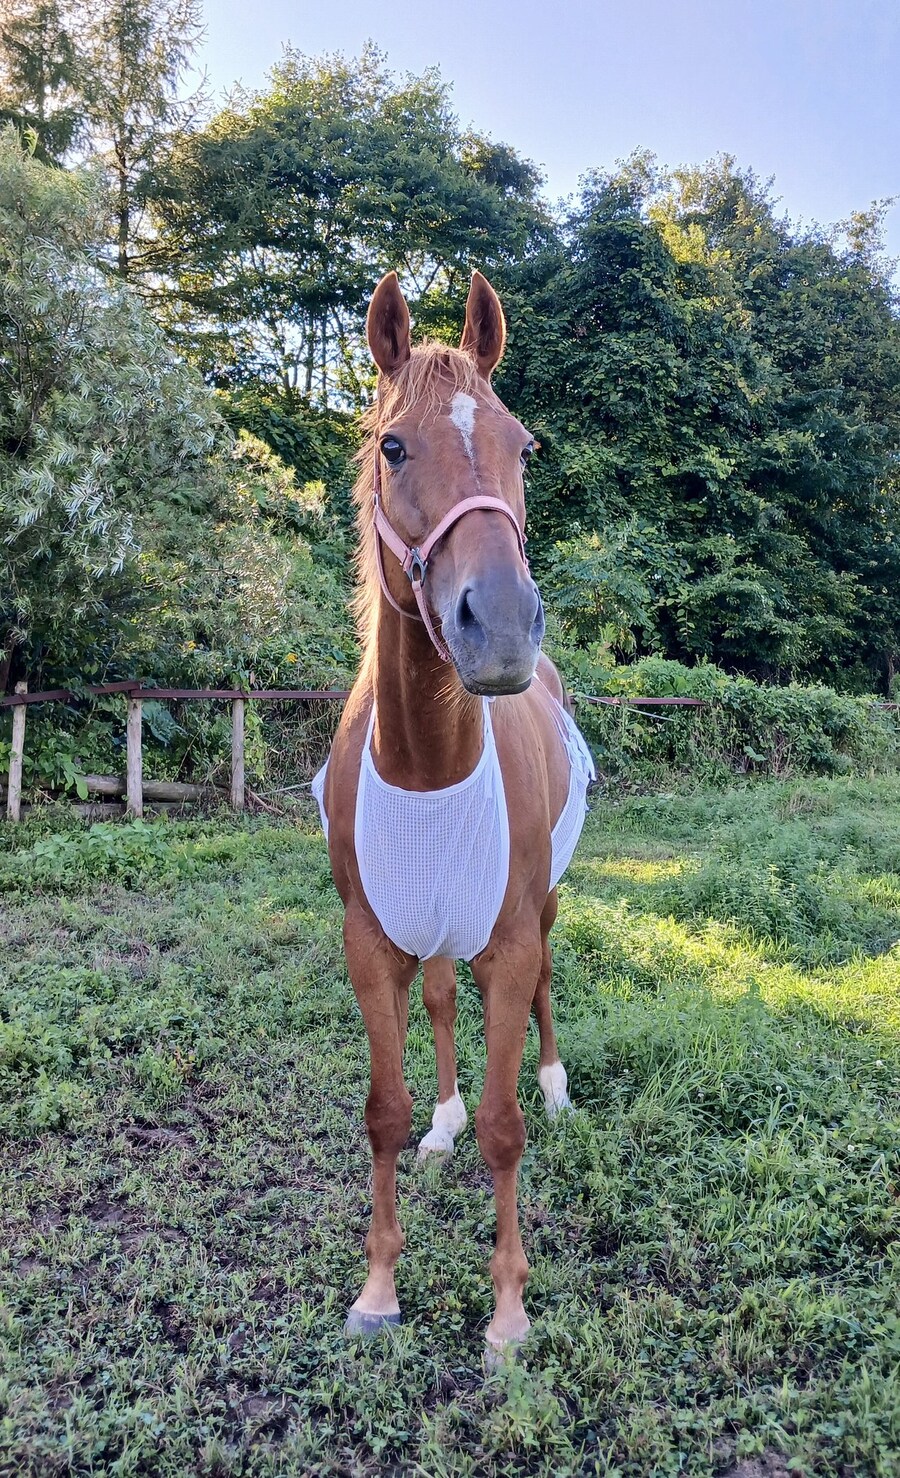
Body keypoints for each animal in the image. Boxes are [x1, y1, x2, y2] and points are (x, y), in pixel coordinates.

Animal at [312, 269, 594, 1358]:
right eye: (394, 446)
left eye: (524, 445)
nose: (503, 625)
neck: (428, 764)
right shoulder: (369, 939)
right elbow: (381, 1111)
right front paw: (379, 1287)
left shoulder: (508, 940)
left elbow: (506, 1129)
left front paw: (509, 1309)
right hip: (428, 921)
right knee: (438, 998)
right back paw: (444, 1119)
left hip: (542, 903)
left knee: (549, 982)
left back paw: (559, 1088)